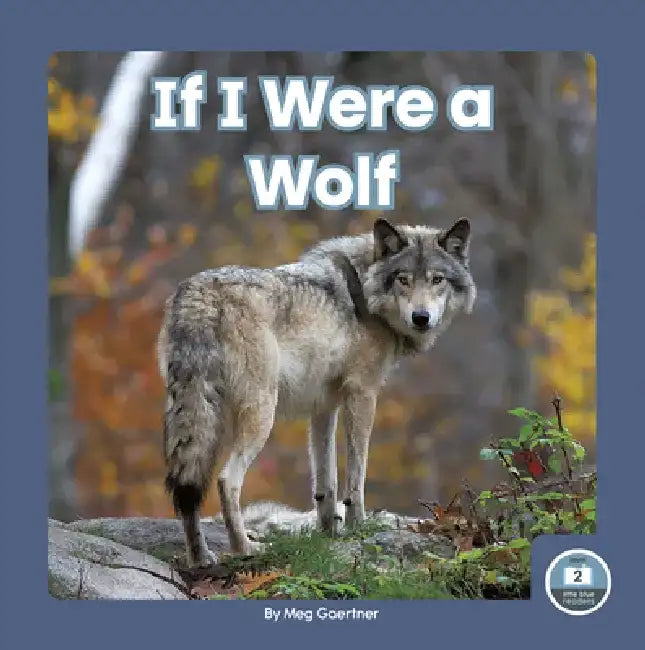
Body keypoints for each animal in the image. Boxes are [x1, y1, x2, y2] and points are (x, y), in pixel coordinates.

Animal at [158, 218, 476, 566]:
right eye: (403, 280)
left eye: (437, 280)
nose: (421, 318)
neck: (365, 291)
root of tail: (199, 294)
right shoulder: (362, 394)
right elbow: (356, 477)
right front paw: (357, 526)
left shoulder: (324, 406)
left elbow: (326, 482)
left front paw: (328, 534)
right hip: (261, 413)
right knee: (227, 480)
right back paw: (245, 548)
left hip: (196, 413)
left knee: (188, 488)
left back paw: (201, 558)